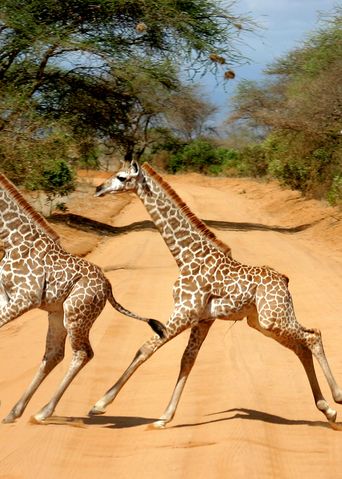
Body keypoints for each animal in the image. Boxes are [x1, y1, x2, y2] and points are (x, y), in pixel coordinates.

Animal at [0, 172, 166, 424]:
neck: (12, 240)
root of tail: (108, 287)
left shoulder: (25, 298)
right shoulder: (5, 294)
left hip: (76, 315)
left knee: (82, 353)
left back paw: (43, 412)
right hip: (57, 314)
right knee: (54, 354)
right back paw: (14, 412)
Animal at [91, 161, 342, 428]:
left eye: (121, 177)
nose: (99, 188)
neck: (185, 256)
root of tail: (284, 280)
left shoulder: (185, 310)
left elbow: (146, 348)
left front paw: (100, 404)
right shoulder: (203, 319)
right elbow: (187, 359)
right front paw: (165, 416)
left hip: (272, 318)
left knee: (313, 336)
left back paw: (337, 398)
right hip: (261, 322)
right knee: (301, 346)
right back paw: (327, 410)